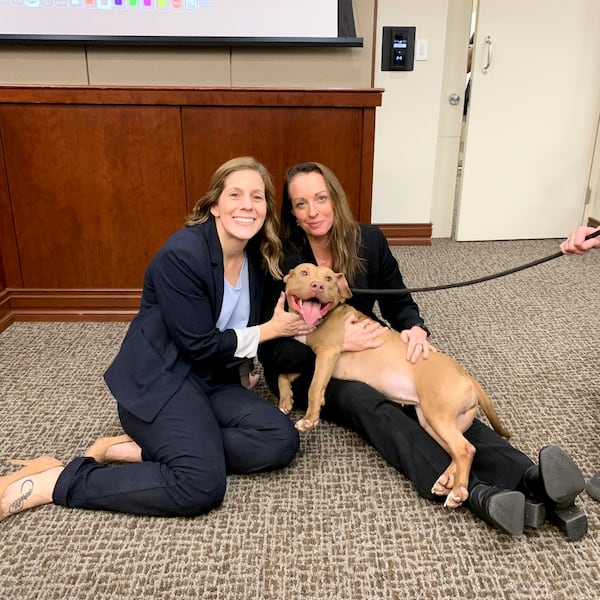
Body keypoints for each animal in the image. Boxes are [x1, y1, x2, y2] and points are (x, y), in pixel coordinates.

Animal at [278, 262, 508, 506]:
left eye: (329, 278)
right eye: (304, 272)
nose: (317, 285)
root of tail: (466, 376)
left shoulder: (327, 354)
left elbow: (314, 388)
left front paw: (309, 419)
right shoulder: (310, 360)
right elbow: (283, 375)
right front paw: (285, 400)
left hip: (438, 416)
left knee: (465, 449)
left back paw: (458, 492)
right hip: (433, 422)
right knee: (460, 450)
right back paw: (446, 481)